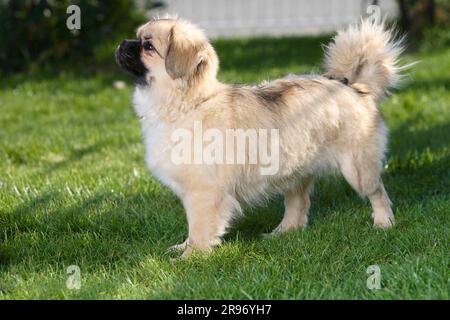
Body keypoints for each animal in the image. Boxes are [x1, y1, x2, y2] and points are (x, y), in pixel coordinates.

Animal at [116, 17, 404, 258]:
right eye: (136, 38)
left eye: (148, 46)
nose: (122, 43)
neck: (189, 104)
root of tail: (355, 87)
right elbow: (192, 228)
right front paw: (183, 248)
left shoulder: (203, 194)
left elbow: (199, 228)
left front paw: (191, 257)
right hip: (295, 171)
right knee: (298, 205)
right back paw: (283, 233)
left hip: (357, 168)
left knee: (377, 192)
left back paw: (383, 223)